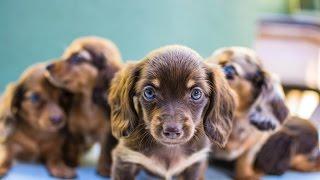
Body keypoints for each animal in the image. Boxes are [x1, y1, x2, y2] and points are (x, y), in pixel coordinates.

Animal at [46, 35, 122, 176]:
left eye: (77, 58)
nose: (47, 67)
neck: (88, 105)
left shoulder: (107, 131)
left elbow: (105, 149)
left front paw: (104, 169)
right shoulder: (72, 130)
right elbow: (72, 146)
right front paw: (70, 163)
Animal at [108, 45, 235, 180]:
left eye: (196, 93)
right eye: (149, 92)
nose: (172, 130)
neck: (169, 149)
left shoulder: (194, 164)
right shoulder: (125, 160)